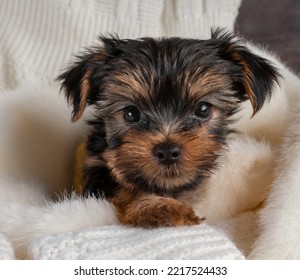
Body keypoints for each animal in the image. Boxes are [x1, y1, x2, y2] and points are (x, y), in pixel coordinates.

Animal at [58, 29, 278, 229]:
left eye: (203, 109)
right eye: (131, 113)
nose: (167, 151)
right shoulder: (96, 169)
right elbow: (124, 187)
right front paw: (160, 207)